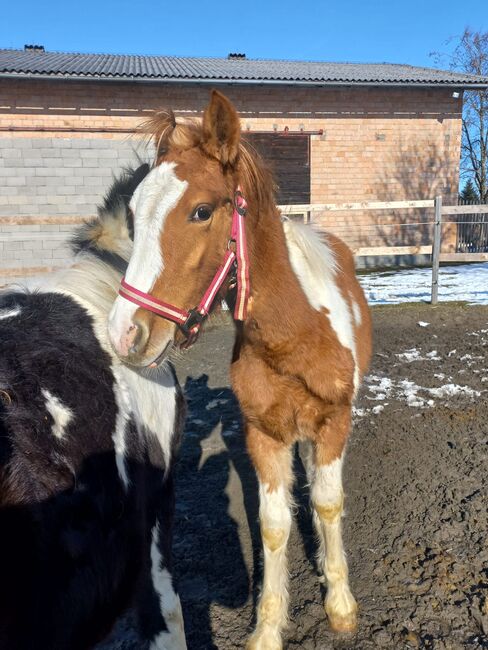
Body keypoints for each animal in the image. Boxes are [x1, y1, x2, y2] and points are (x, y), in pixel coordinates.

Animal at [108, 92, 372, 648]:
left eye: (202, 211)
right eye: (135, 214)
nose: (123, 334)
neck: (292, 339)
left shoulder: (334, 420)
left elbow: (329, 502)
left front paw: (340, 603)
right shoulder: (262, 432)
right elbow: (273, 523)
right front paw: (268, 627)